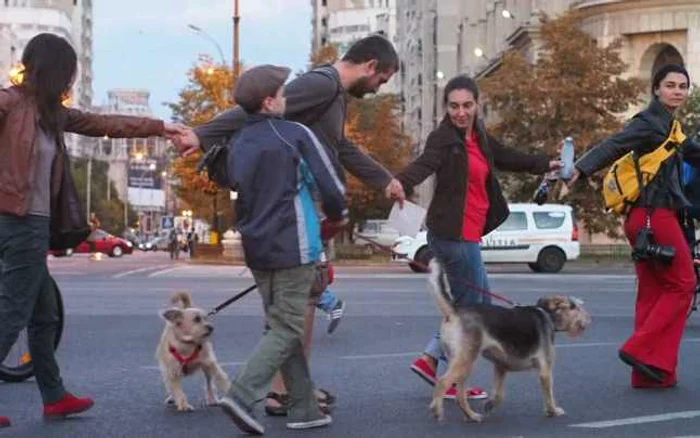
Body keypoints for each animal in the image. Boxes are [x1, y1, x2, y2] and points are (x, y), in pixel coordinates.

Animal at [426, 258, 592, 422]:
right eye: (576, 307)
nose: (589, 319)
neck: (548, 315)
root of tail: (453, 311)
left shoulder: (501, 366)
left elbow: (499, 394)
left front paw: (490, 405)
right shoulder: (545, 368)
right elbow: (549, 394)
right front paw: (553, 411)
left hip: (464, 362)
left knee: (459, 394)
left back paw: (471, 415)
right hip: (466, 360)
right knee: (443, 382)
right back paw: (438, 410)